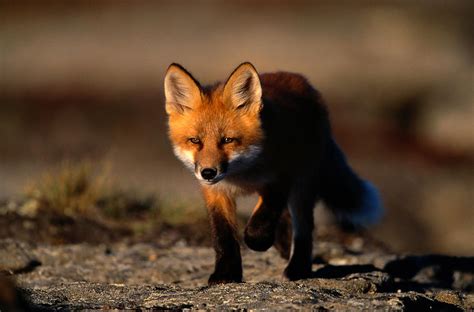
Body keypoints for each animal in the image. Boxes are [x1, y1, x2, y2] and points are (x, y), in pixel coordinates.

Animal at [165, 62, 384, 284]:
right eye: (195, 141)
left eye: (227, 140)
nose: (208, 172)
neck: (241, 176)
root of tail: (298, 78)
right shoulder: (216, 194)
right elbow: (223, 238)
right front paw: (226, 274)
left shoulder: (281, 180)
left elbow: (261, 221)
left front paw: (258, 241)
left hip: (303, 186)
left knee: (303, 229)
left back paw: (298, 268)